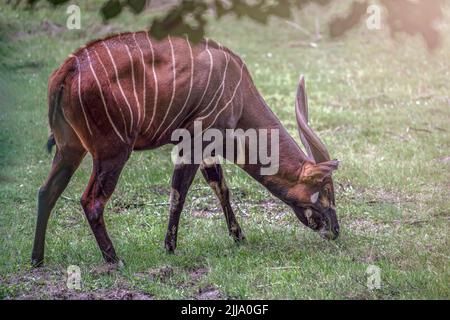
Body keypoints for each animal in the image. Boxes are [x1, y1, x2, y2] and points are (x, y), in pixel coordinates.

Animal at [31, 31, 340, 268]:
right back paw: (114, 260)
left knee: (46, 191)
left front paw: (239, 238)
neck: (239, 94)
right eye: (325, 189)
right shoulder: (194, 141)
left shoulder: (208, 149)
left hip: (69, 149)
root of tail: (68, 69)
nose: (336, 231)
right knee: (91, 201)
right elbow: (178, 193)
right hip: (113, 151)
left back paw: (37, 259)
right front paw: (169, 247)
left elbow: (221, 188)